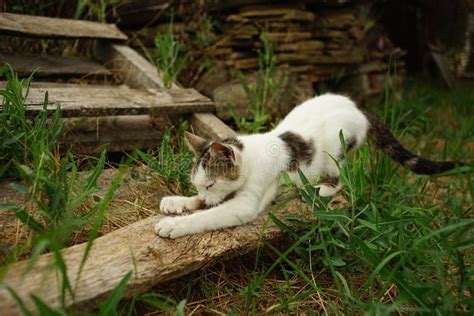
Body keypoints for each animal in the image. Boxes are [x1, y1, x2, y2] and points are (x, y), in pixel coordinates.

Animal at [156, 92, 462, 238]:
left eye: (211, 183)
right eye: (199, 185)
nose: (205, 195)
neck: (251, 158)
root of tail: (357, 108)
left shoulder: (246, 202)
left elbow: (209, 215)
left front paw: (175, 224)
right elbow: (202, 205)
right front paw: (179, 202)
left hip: (336, 147)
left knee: (341, 181)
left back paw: (318, 190)